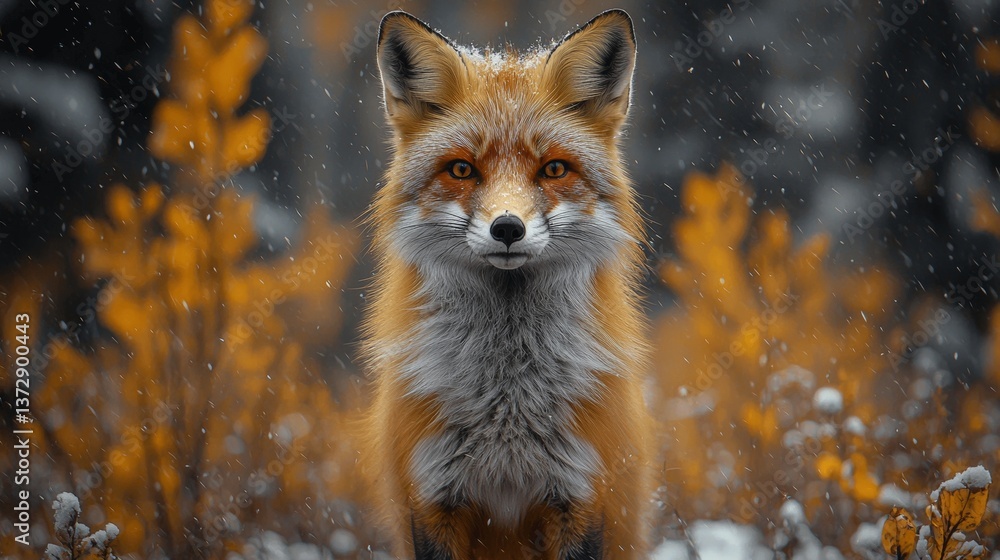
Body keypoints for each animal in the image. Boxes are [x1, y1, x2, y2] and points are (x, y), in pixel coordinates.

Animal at [361, 9, 653, 560]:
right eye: (461, 169)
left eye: (554, 168)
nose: (508, 228)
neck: (507, 400)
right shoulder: (431, 499)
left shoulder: (582, 495)